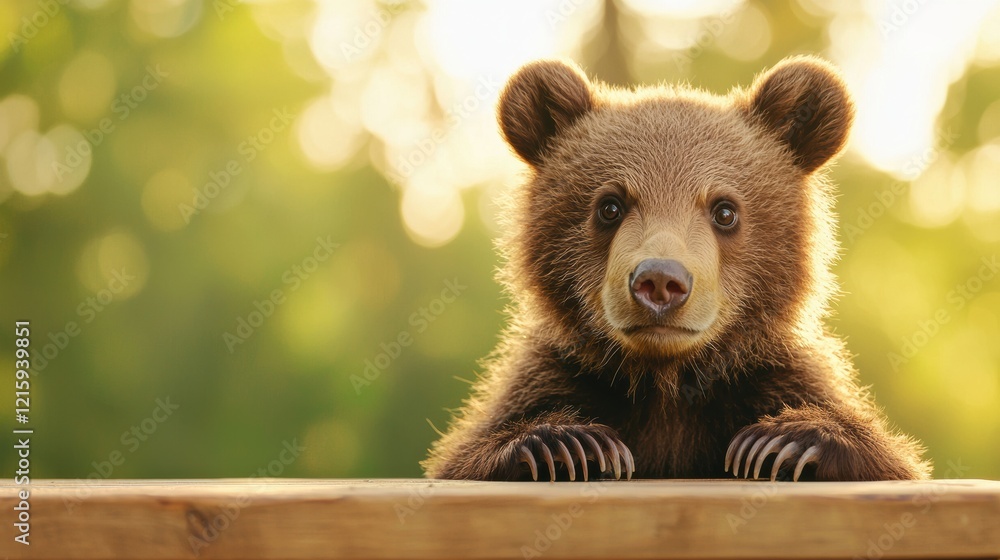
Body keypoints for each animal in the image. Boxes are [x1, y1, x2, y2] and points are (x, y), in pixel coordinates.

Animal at [422, 56, 931, 482]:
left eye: (725, 210)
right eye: (609, 205)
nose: (660, 281)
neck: (665, 382)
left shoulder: (769, 376)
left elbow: (887, 457)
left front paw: (781, 442)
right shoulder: (556, 376)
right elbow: (469, 453)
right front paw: (569, 444)